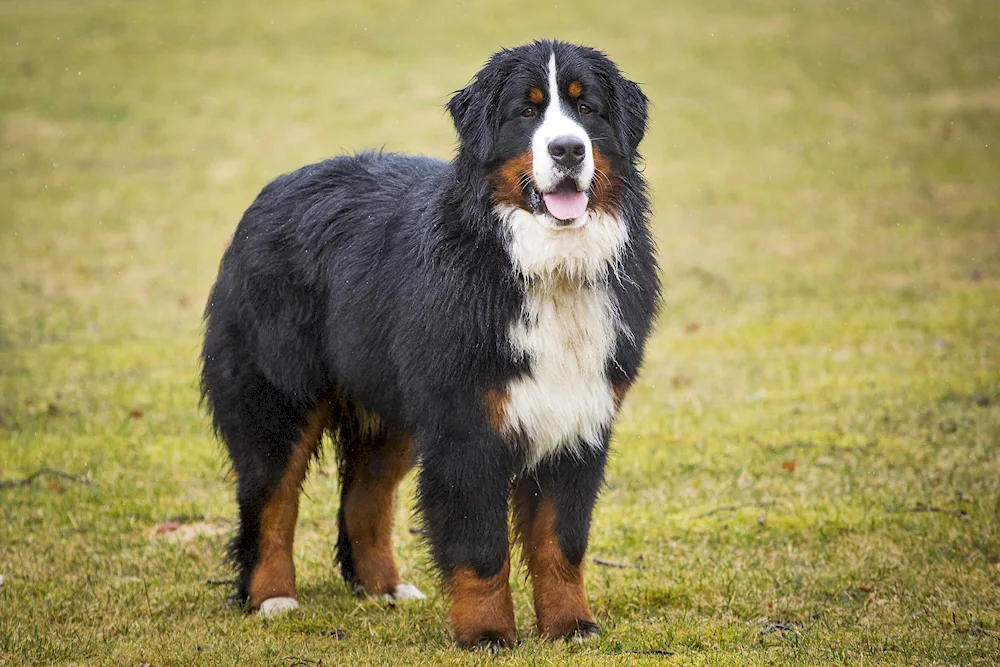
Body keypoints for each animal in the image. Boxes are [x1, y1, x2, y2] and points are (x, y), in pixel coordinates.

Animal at [199, 39, 660, 648]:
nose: (567, 148)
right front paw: (487, 633)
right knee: (270, 502)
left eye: (587, 109)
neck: (540, 266)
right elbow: (480, 548)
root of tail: (271, 192)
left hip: (390, 409)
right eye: (526, 111)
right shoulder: (466, 430)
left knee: (365, 500)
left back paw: (385, 589)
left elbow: (562, 543)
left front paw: (570, 627)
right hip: (278, 400)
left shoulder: (578, 423)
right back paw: (273, 597)